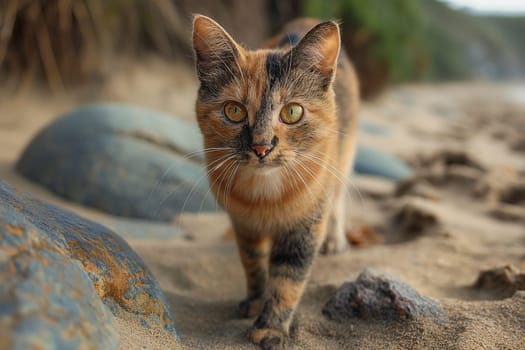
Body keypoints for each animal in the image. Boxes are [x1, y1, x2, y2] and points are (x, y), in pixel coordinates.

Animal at [192, 15, 360, 348]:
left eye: (292, 112)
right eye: (234, 110)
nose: (261, 147)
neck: (265, 195)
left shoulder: (304, 227)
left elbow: (287, 281)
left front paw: (270, 328)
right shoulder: (243, 223)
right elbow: (253, 264)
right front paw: (255, 302)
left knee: (338, 202)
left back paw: (335, 242)